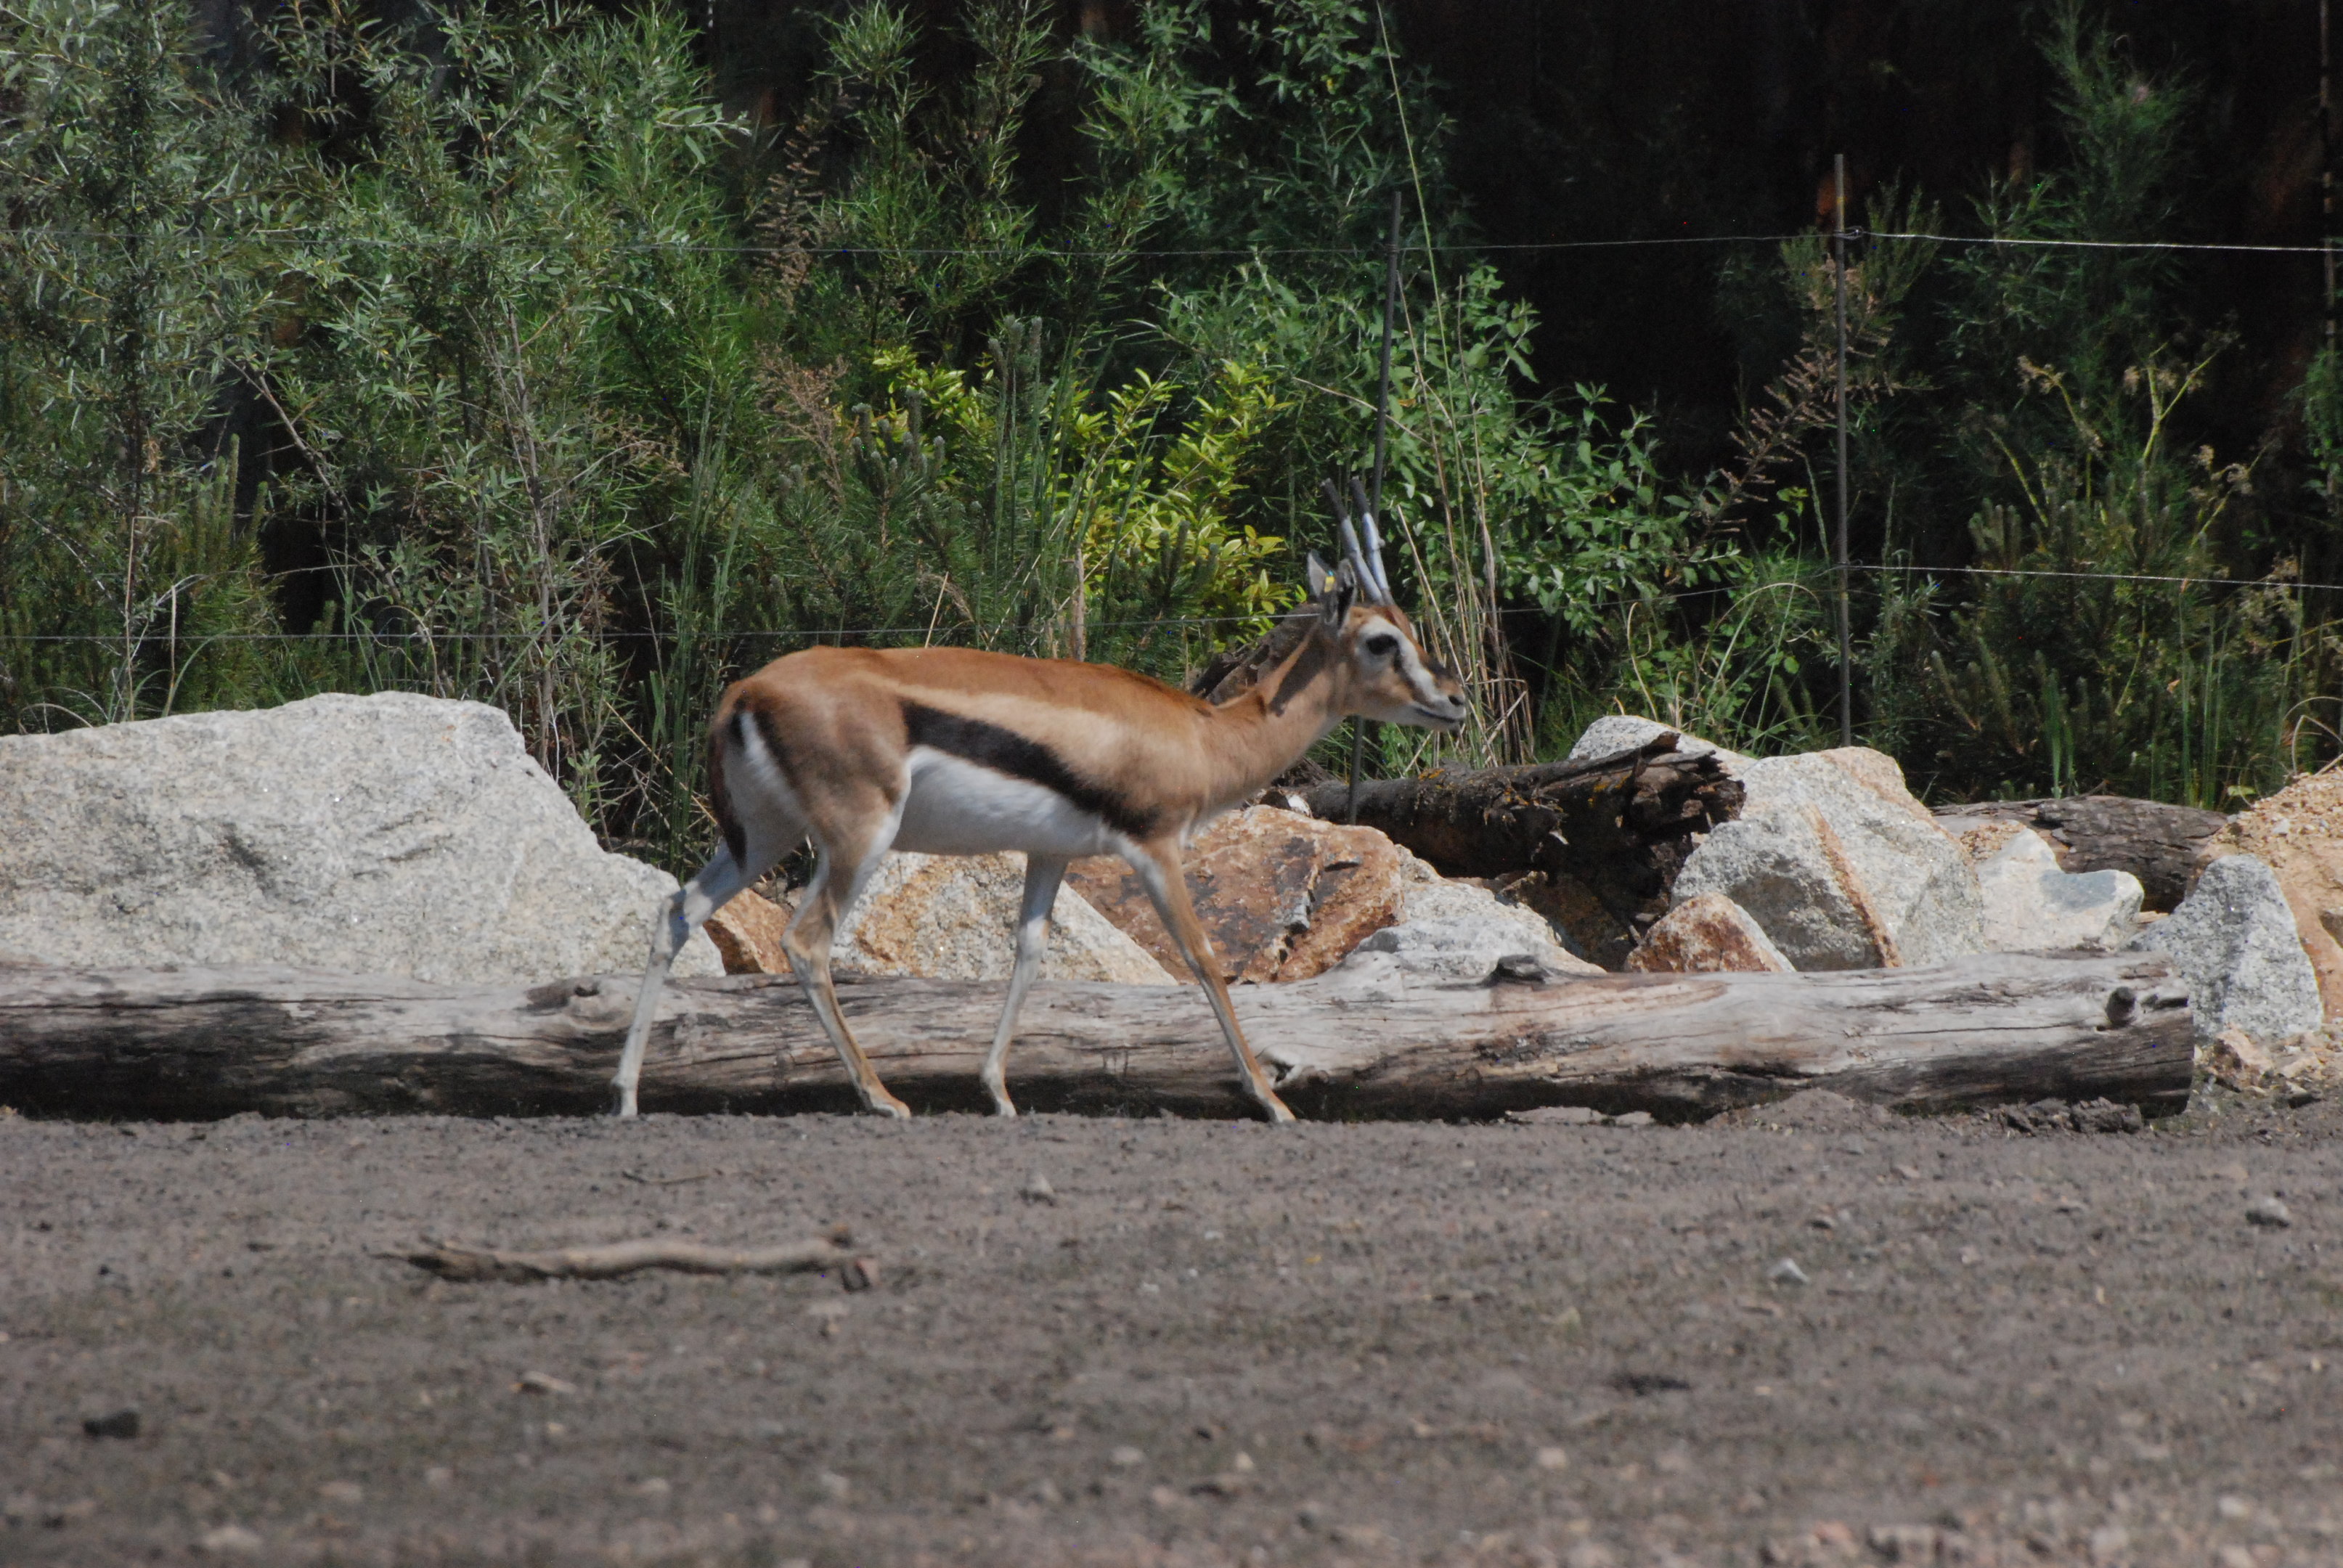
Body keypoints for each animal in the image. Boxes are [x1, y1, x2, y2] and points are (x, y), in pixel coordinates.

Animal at [611, 491, 1466, 1123]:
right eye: (1383, 641)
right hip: (856, 838)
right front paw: (1271, 1100)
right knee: (805, 942)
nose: (1454, 701)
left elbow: (1026, 955)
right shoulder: (1155, 849)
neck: (1205, 733)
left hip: (763, 836)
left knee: (677, 912)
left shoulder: (1051, 854)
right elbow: (1201, 958)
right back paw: (881, 1098)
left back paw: (624, 1094)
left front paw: (997, 1092)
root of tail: (746, 691)